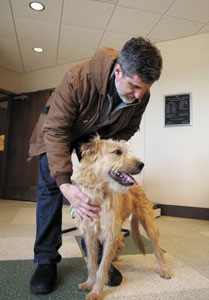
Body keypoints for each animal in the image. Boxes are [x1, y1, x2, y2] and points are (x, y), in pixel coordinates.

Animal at [75, 137, 171, 300]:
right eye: (117, 152)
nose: (141, 164)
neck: (99, 192)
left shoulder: (109, 234)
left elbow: (102, 268)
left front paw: (96, 292)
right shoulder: (90, 234)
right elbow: (92, 264)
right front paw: (89, 283)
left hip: (149, 225)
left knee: (158, 250)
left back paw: (164, 269)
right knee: (121, 239)